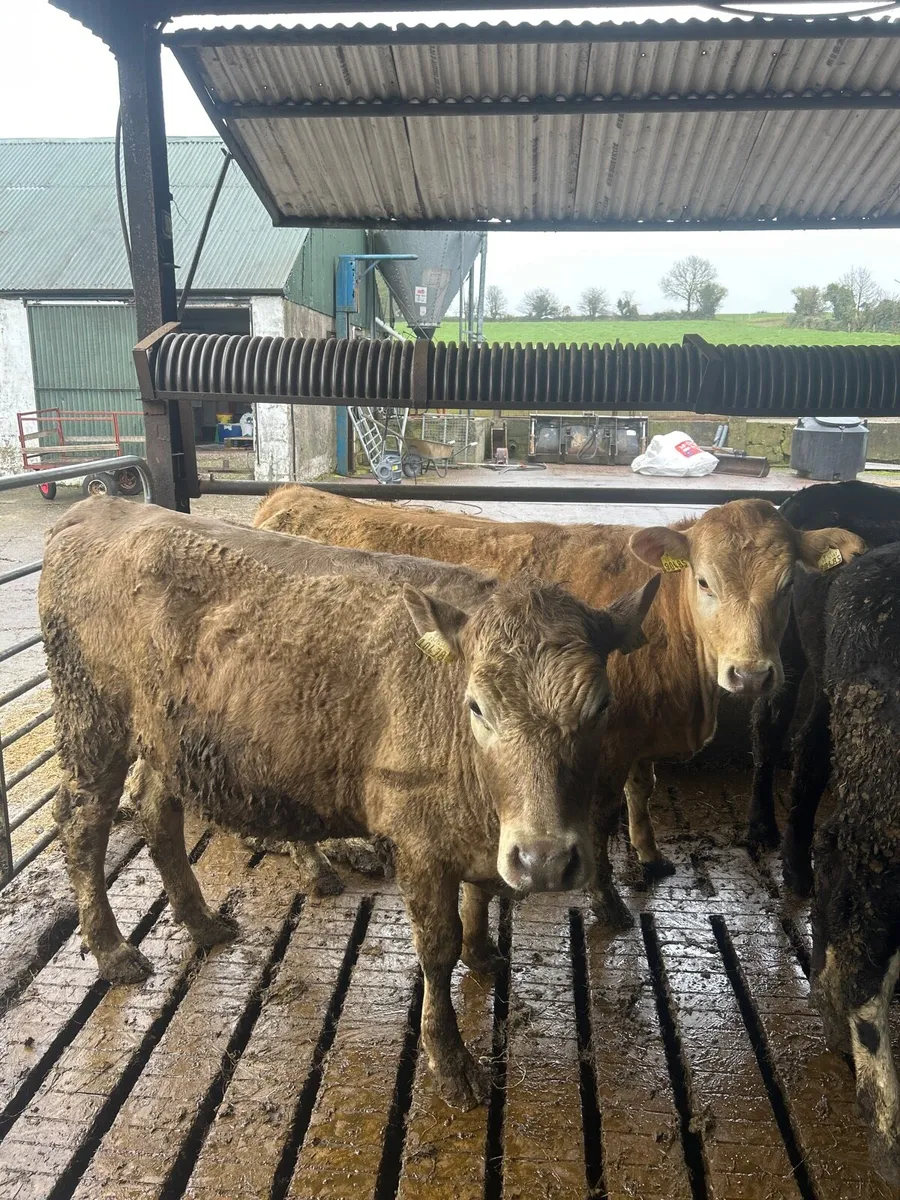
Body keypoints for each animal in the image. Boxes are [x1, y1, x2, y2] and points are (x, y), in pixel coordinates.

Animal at [39, 499, 658, 1109]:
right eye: (477, 706)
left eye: (602, 706)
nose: (544, 861)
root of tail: (99, 507)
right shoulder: (419, 841)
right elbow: (437, 947)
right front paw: (452, 1062)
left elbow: (478, 897)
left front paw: (483, 954)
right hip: (93, 720)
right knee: (82, 821)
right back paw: (113, 950)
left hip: (166, 739)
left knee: (155, 811)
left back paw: (203, 921)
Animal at [253, 484, 864, 920]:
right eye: (705, 581)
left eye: (788, 585)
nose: (752, 674)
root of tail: (290, 495)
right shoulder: (606, 747)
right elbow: (600, 817)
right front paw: (608, 903)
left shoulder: (634, 739)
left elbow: (643, 790)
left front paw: (649, 855)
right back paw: (317, 865)